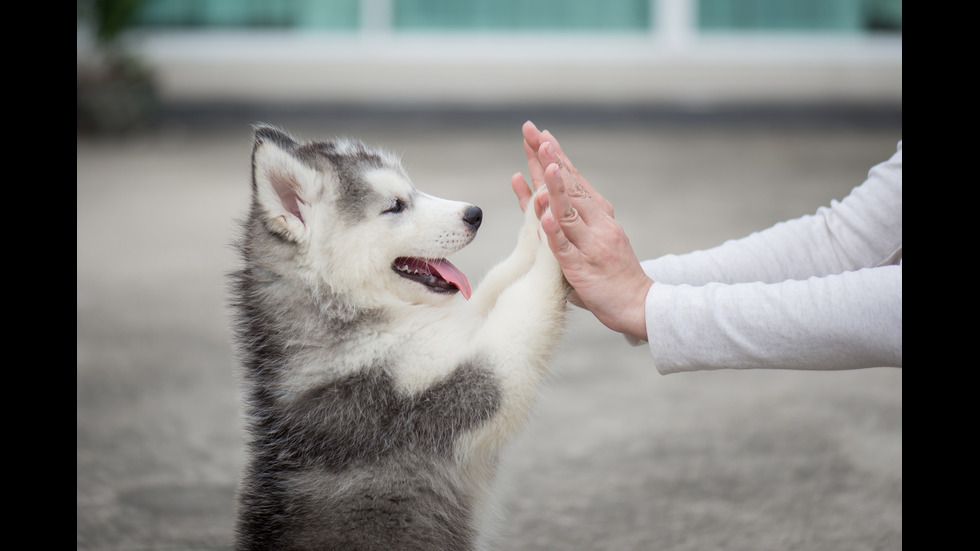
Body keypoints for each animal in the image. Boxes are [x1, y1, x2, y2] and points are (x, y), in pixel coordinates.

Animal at [229, 125, 568, 551]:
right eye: (395, 206)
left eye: (413, 189)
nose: (475, 214)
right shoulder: (443, 392)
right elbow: (522, 305)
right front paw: (559, 234)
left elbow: (497, 284)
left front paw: (539, 213)